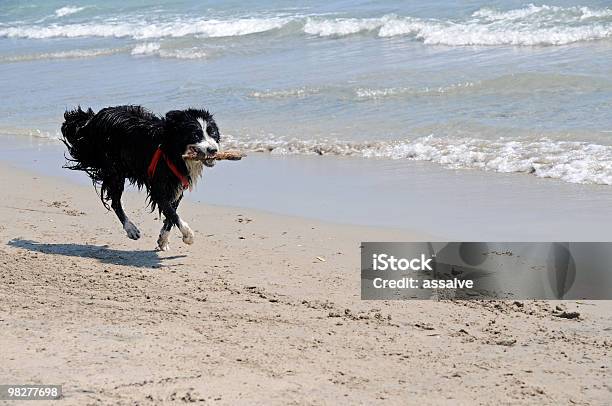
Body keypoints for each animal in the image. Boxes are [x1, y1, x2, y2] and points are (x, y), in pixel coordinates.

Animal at [61, 104, 220, 251]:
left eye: (212, 133)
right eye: (196, 135)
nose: (213, 150)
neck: (172, 150)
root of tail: (92, 120)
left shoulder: (177, 186)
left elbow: (171, 214)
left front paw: (163, 240)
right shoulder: (159, 188)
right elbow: (172, 213)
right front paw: (188, 235)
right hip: (114, 170)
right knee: (115, 202)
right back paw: (131, 229)